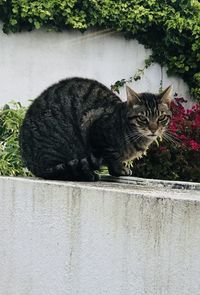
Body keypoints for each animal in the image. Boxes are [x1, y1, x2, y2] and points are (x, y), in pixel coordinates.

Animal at [19, 77, 173, 182]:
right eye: (142, 118)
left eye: (161, 117)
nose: (153, 129)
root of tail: (30, 162)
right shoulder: (94, 125)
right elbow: (112, 157)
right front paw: (119, 169)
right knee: (58, 171)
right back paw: (88, 175)